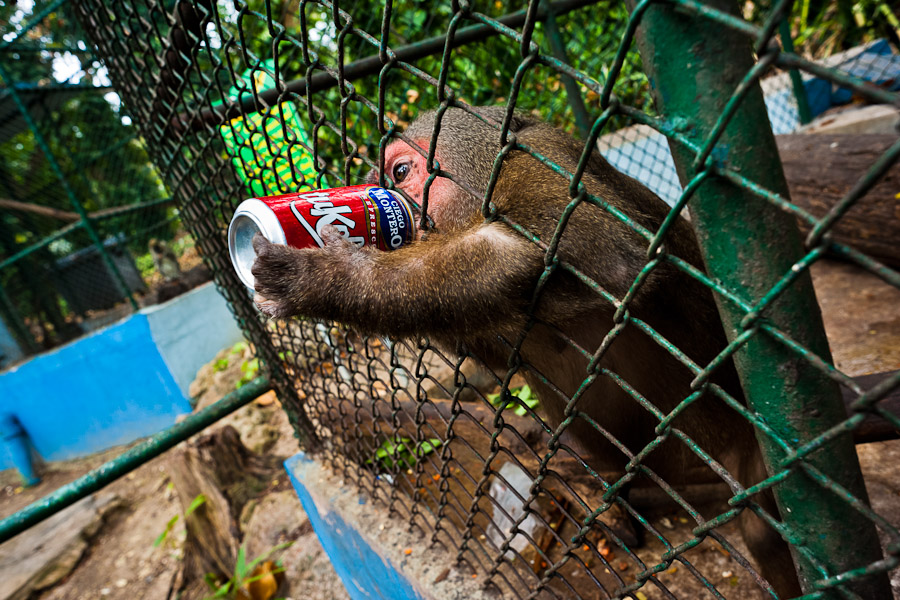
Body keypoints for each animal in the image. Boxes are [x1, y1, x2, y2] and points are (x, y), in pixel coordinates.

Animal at [251, 104, 800, 596]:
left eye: (401, 172)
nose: (389, 207)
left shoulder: (535, 161)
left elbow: (599, 251)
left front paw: (329, 278)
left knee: (762, 529)